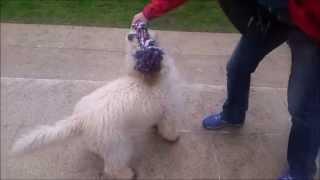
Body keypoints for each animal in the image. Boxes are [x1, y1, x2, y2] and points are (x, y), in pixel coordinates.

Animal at [11, 29, 184, 179]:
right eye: (142, 42)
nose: (130, 34)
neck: (150, 80)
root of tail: (81, 118)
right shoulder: (169, 111)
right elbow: (168, 128)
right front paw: (172, 137)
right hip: (118, 146)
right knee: (112, 167)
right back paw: (127, 174)